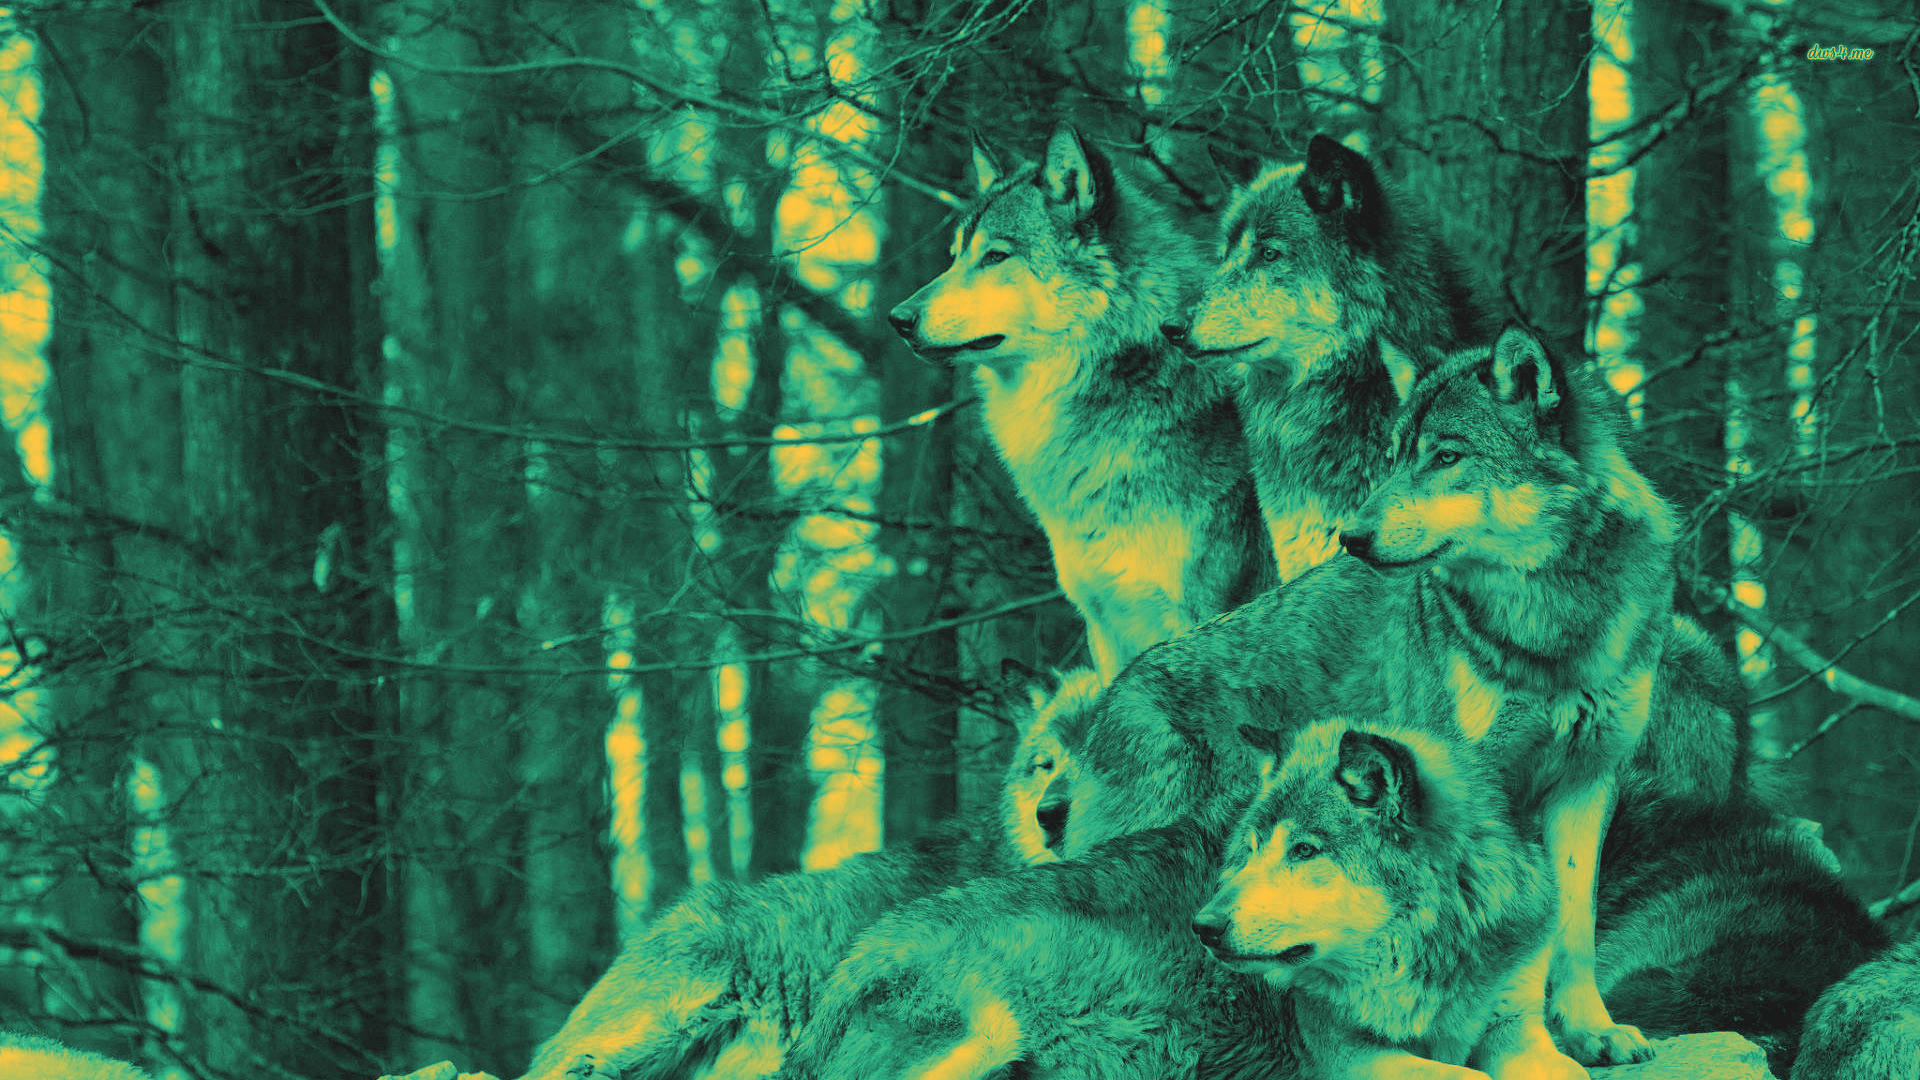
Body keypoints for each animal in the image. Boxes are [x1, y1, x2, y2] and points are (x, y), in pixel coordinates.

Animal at [1194, 718, 1583, 1080]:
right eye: (1252, 850)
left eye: (1304, 850)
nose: (1203, 926)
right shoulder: (1344, 1048)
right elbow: (1471, 1075)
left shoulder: (1516, 1027)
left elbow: (1575, 1072)